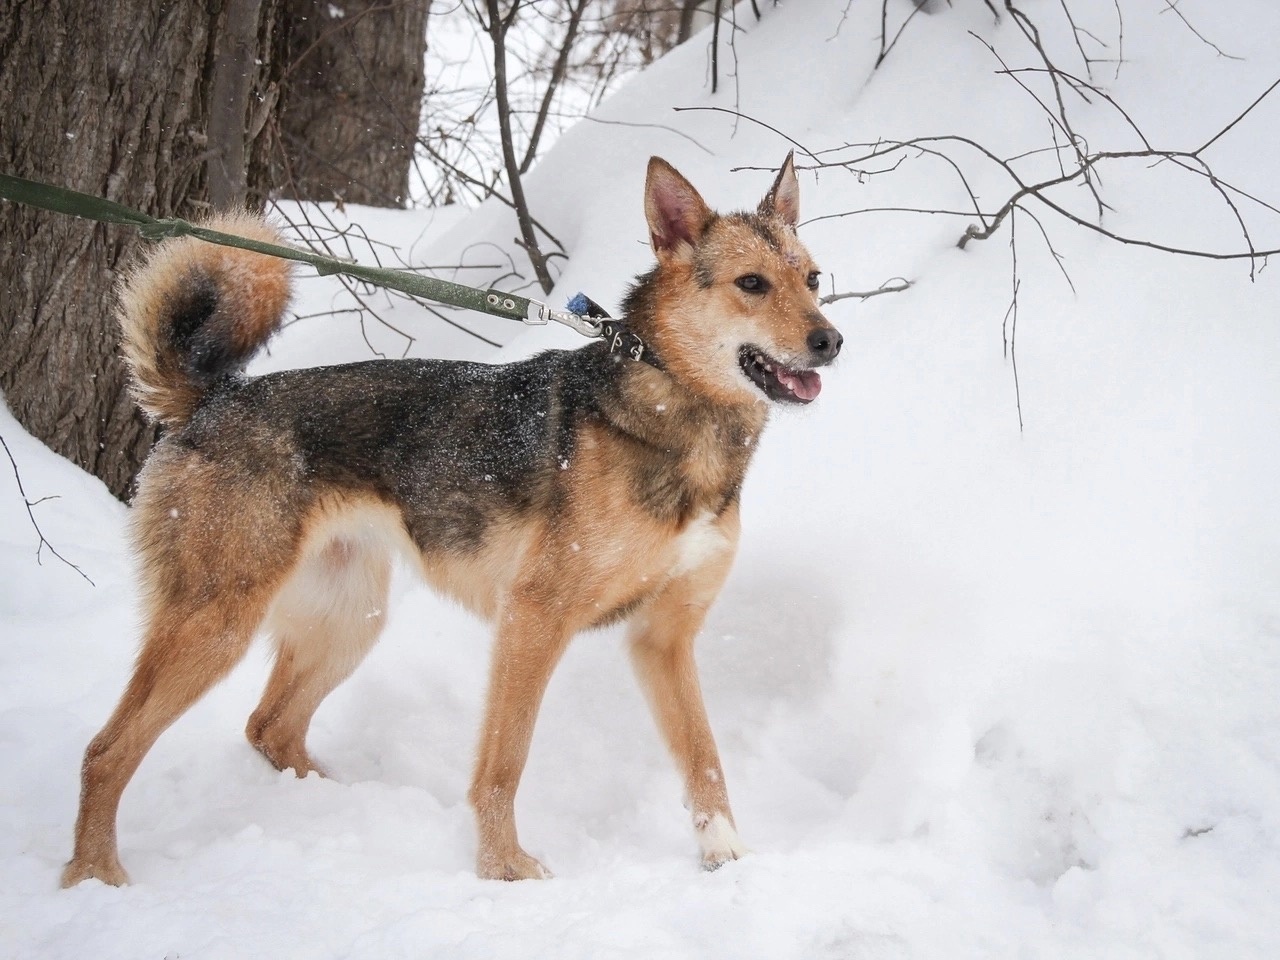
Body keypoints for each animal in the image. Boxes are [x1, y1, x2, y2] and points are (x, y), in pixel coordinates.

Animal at [62, 156, 839, 885]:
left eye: (813, 278)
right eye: (751, 284)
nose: (831, 341)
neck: (678, 413)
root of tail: (211, 399)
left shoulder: (665, 639)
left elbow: (704, 758)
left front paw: (726, 854)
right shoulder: (534, 618)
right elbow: (504, 763)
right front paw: (504, 870)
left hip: (348, 623)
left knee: (268, 727)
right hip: (217, 622)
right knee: (106, 751)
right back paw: (94, 873)